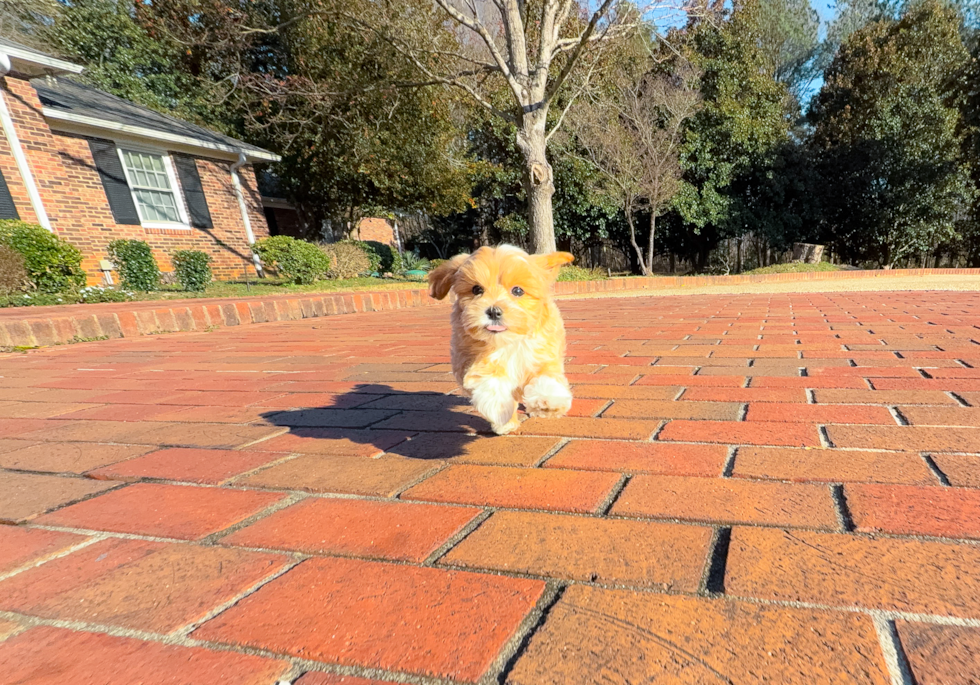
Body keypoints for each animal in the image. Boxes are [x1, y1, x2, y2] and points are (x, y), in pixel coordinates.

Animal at [426, 244, 576, 432]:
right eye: (476, 290)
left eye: (517, 290)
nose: (493, 311)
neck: (507, 341)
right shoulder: (469, 357)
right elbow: (490, 380)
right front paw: (501, 411)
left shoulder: (543, 352)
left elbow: (546, 375)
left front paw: (547, 402)